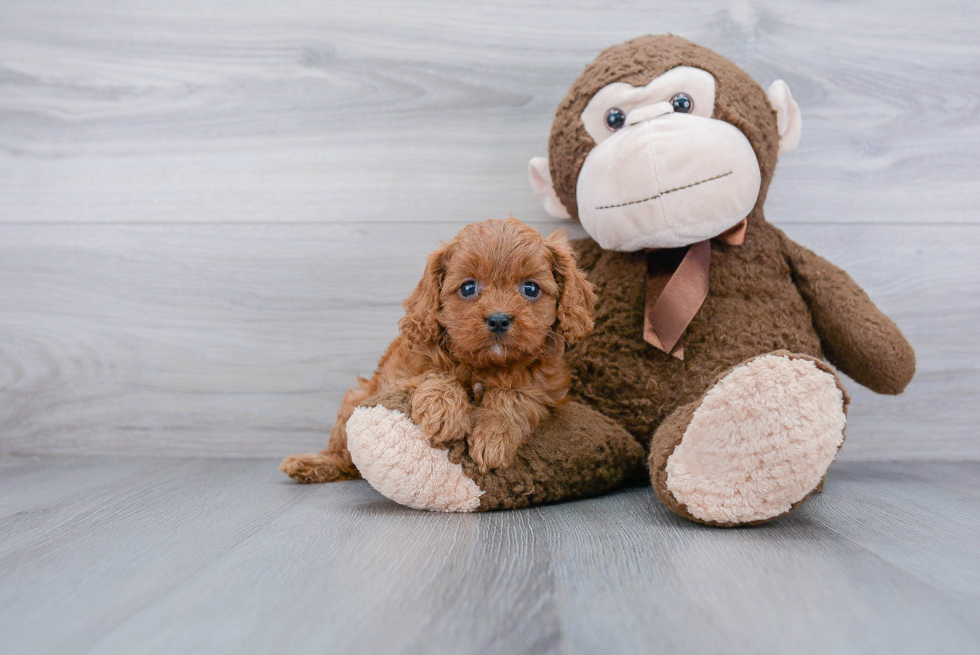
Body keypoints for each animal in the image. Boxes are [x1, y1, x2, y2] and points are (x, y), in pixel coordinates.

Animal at [280, 217, 592, 482]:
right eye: (468, 288)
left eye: (531, 288)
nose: (498, 319)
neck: (483, 365)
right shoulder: (400, 374)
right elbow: (434, 374)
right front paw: (443, 412)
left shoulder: (546, 389)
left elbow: (515, 396)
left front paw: (494, 435)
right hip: (355, 399)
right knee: (344, 457)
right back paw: (313, 464)